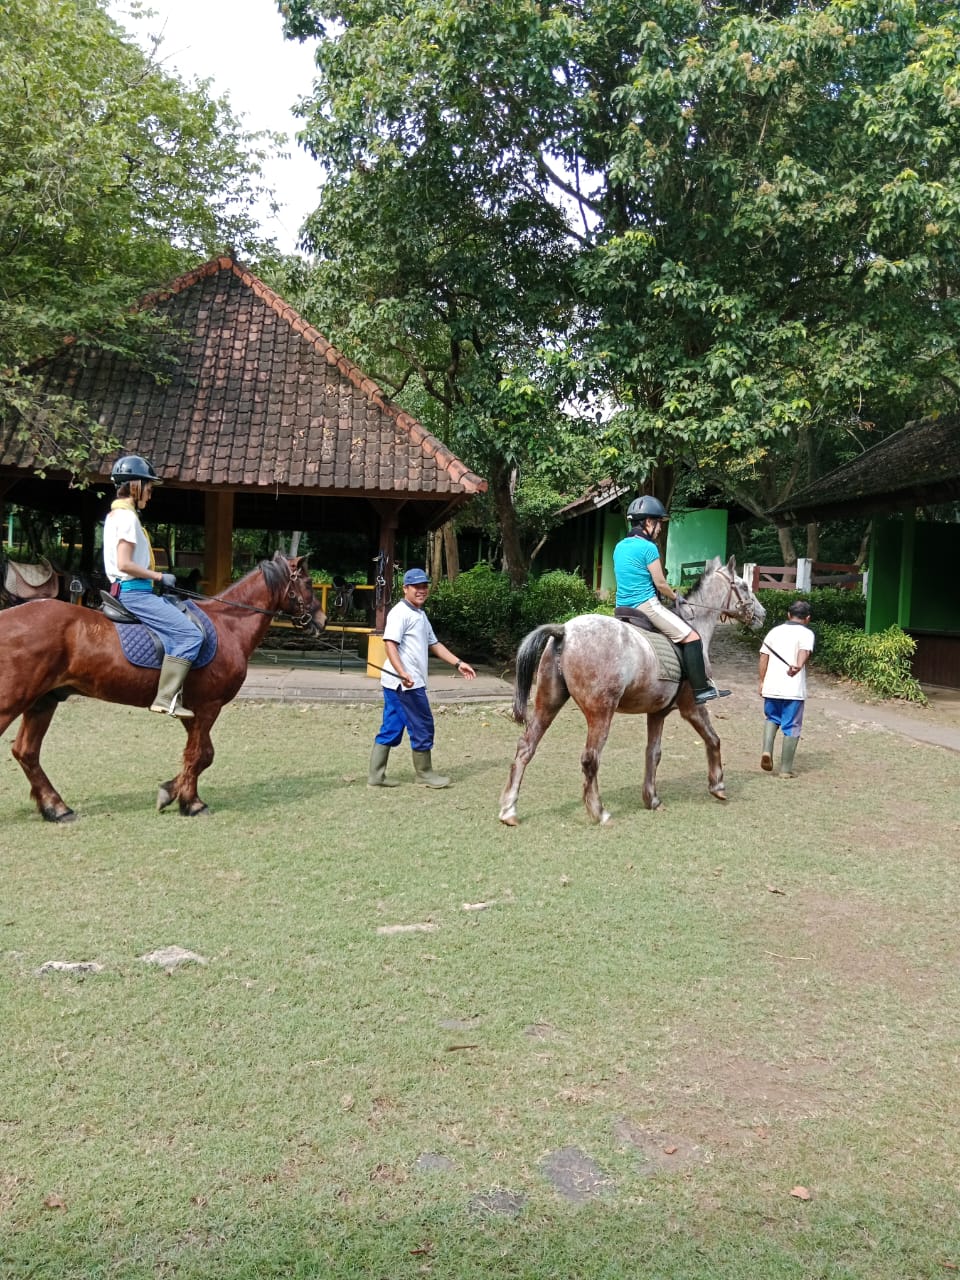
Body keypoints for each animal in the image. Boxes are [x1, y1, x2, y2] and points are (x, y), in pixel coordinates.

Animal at [0, 553, 325, 822]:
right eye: (309, 583)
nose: (322, 621)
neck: (229, 624)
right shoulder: (208, 706)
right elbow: (199, 755)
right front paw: (191, 803)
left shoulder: (190, 709)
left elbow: (202, 753)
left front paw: (171, 792)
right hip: (13, 701)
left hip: (43, 701)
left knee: (26, 752)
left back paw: (57, 808)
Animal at [498, 556, 766, 826]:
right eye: (744, 586)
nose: (762, 614)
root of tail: (565, 631)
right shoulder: (692, 706)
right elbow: (713, 738)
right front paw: (718, 786)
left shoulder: (658, 712)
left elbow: (653, 753)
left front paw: (652, 799)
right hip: (601, 712)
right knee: (590, 758)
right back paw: (599, 812)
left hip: (548, 702)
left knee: (526, 747)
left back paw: (509, 810)